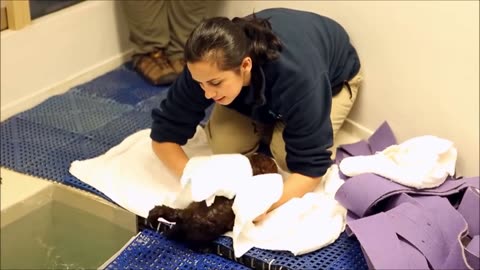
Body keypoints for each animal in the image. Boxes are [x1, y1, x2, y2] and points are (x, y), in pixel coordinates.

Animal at [148, 153, 280, 248]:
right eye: (270, 163)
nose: (272, 159)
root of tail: (185, 214)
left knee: (176, 230)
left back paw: (169, 234)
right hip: (201, 233)